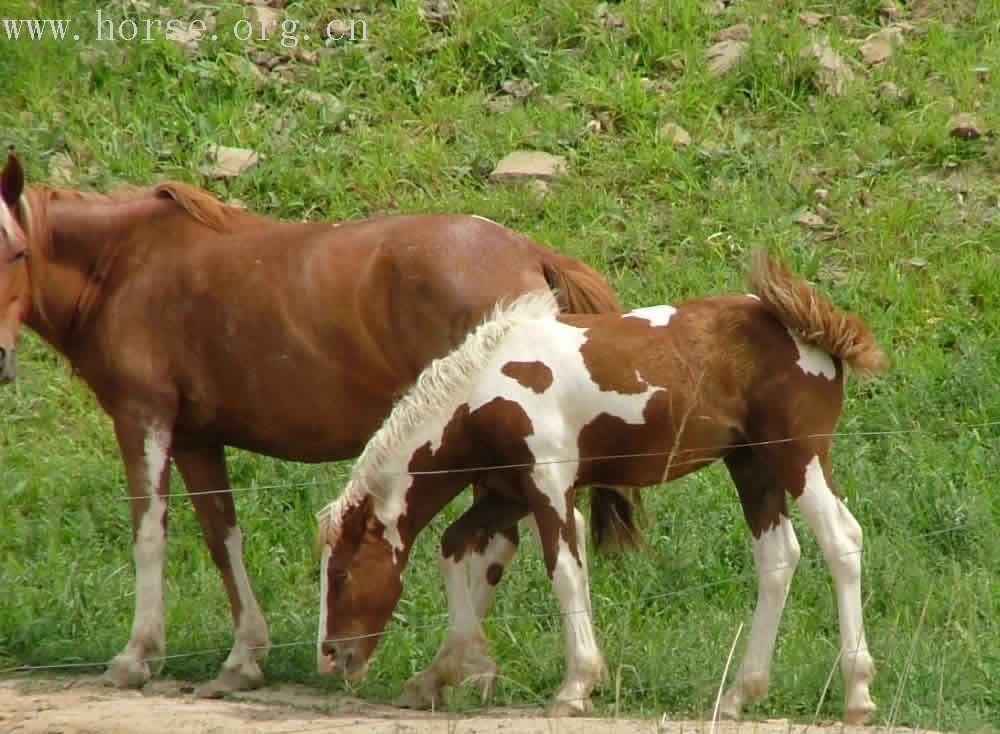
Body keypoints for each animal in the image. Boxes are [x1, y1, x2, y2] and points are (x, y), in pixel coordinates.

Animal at [1, 152, 632, 700]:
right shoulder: (197, 438)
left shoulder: (143, 415)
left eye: (16, 252)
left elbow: (149, 532)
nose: (2, 359)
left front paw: (137, 655)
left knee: (514, 537)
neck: (123, 265)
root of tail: (531, 252)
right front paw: (243, 659)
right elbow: (222, 537)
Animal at [316, 249, 888, 724]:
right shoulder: (507, 493)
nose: (332, 656)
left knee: (841, 539)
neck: (481, 393)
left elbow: (565, 571)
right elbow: (455, 547)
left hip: (798, 455)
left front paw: (576, 686)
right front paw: (447, 670)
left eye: (341, 575)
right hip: (752, 466)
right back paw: (739, 694)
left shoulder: (548, 481)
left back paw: (857, 695)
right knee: (778, 557)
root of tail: (814, 330)